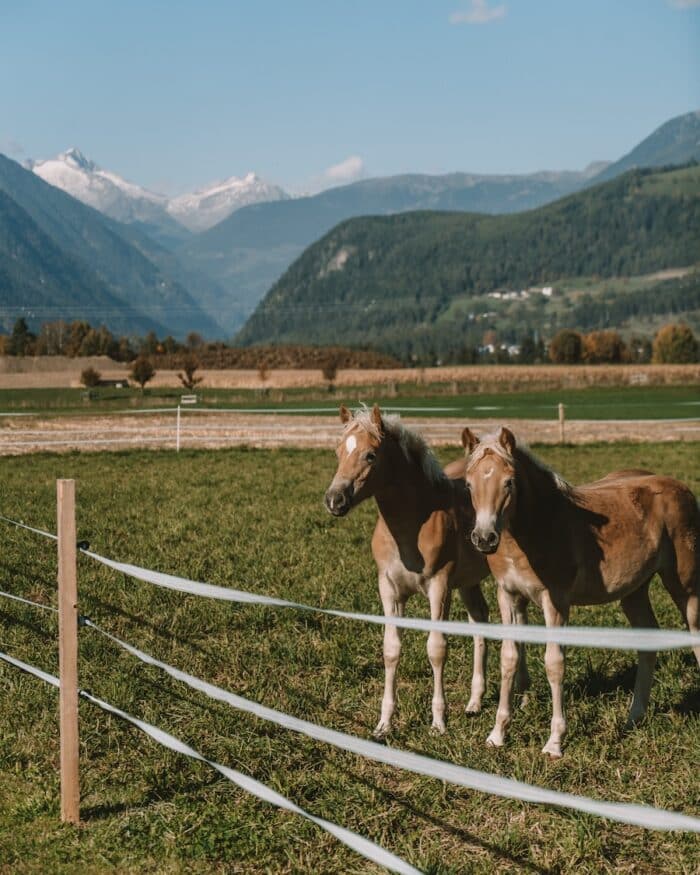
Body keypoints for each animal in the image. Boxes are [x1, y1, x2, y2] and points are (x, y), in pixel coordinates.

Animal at [324, 404, 525, 737]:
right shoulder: (389, 588)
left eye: (370, 455)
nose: (334, 500)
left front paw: (438, 722)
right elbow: (391, 648)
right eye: (339, 451)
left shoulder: (439, 587)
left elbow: (436, 648)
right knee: (479, 621)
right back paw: (474, 702)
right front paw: (384, 723)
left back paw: (522, 697)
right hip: (468, 583)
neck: (410, 526)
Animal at [461, 425, 700, 758]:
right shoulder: (507, 595)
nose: (484, 538)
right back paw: (633, 717)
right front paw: (497, 734)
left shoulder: (556, 601)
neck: (538, 527)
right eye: (468, 484)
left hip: (684, 585)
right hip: (634, 591)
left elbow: (554, 663)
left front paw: (554, 742)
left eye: (509, 482)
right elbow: (509, 658)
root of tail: (682, 488)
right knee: (647, 639)